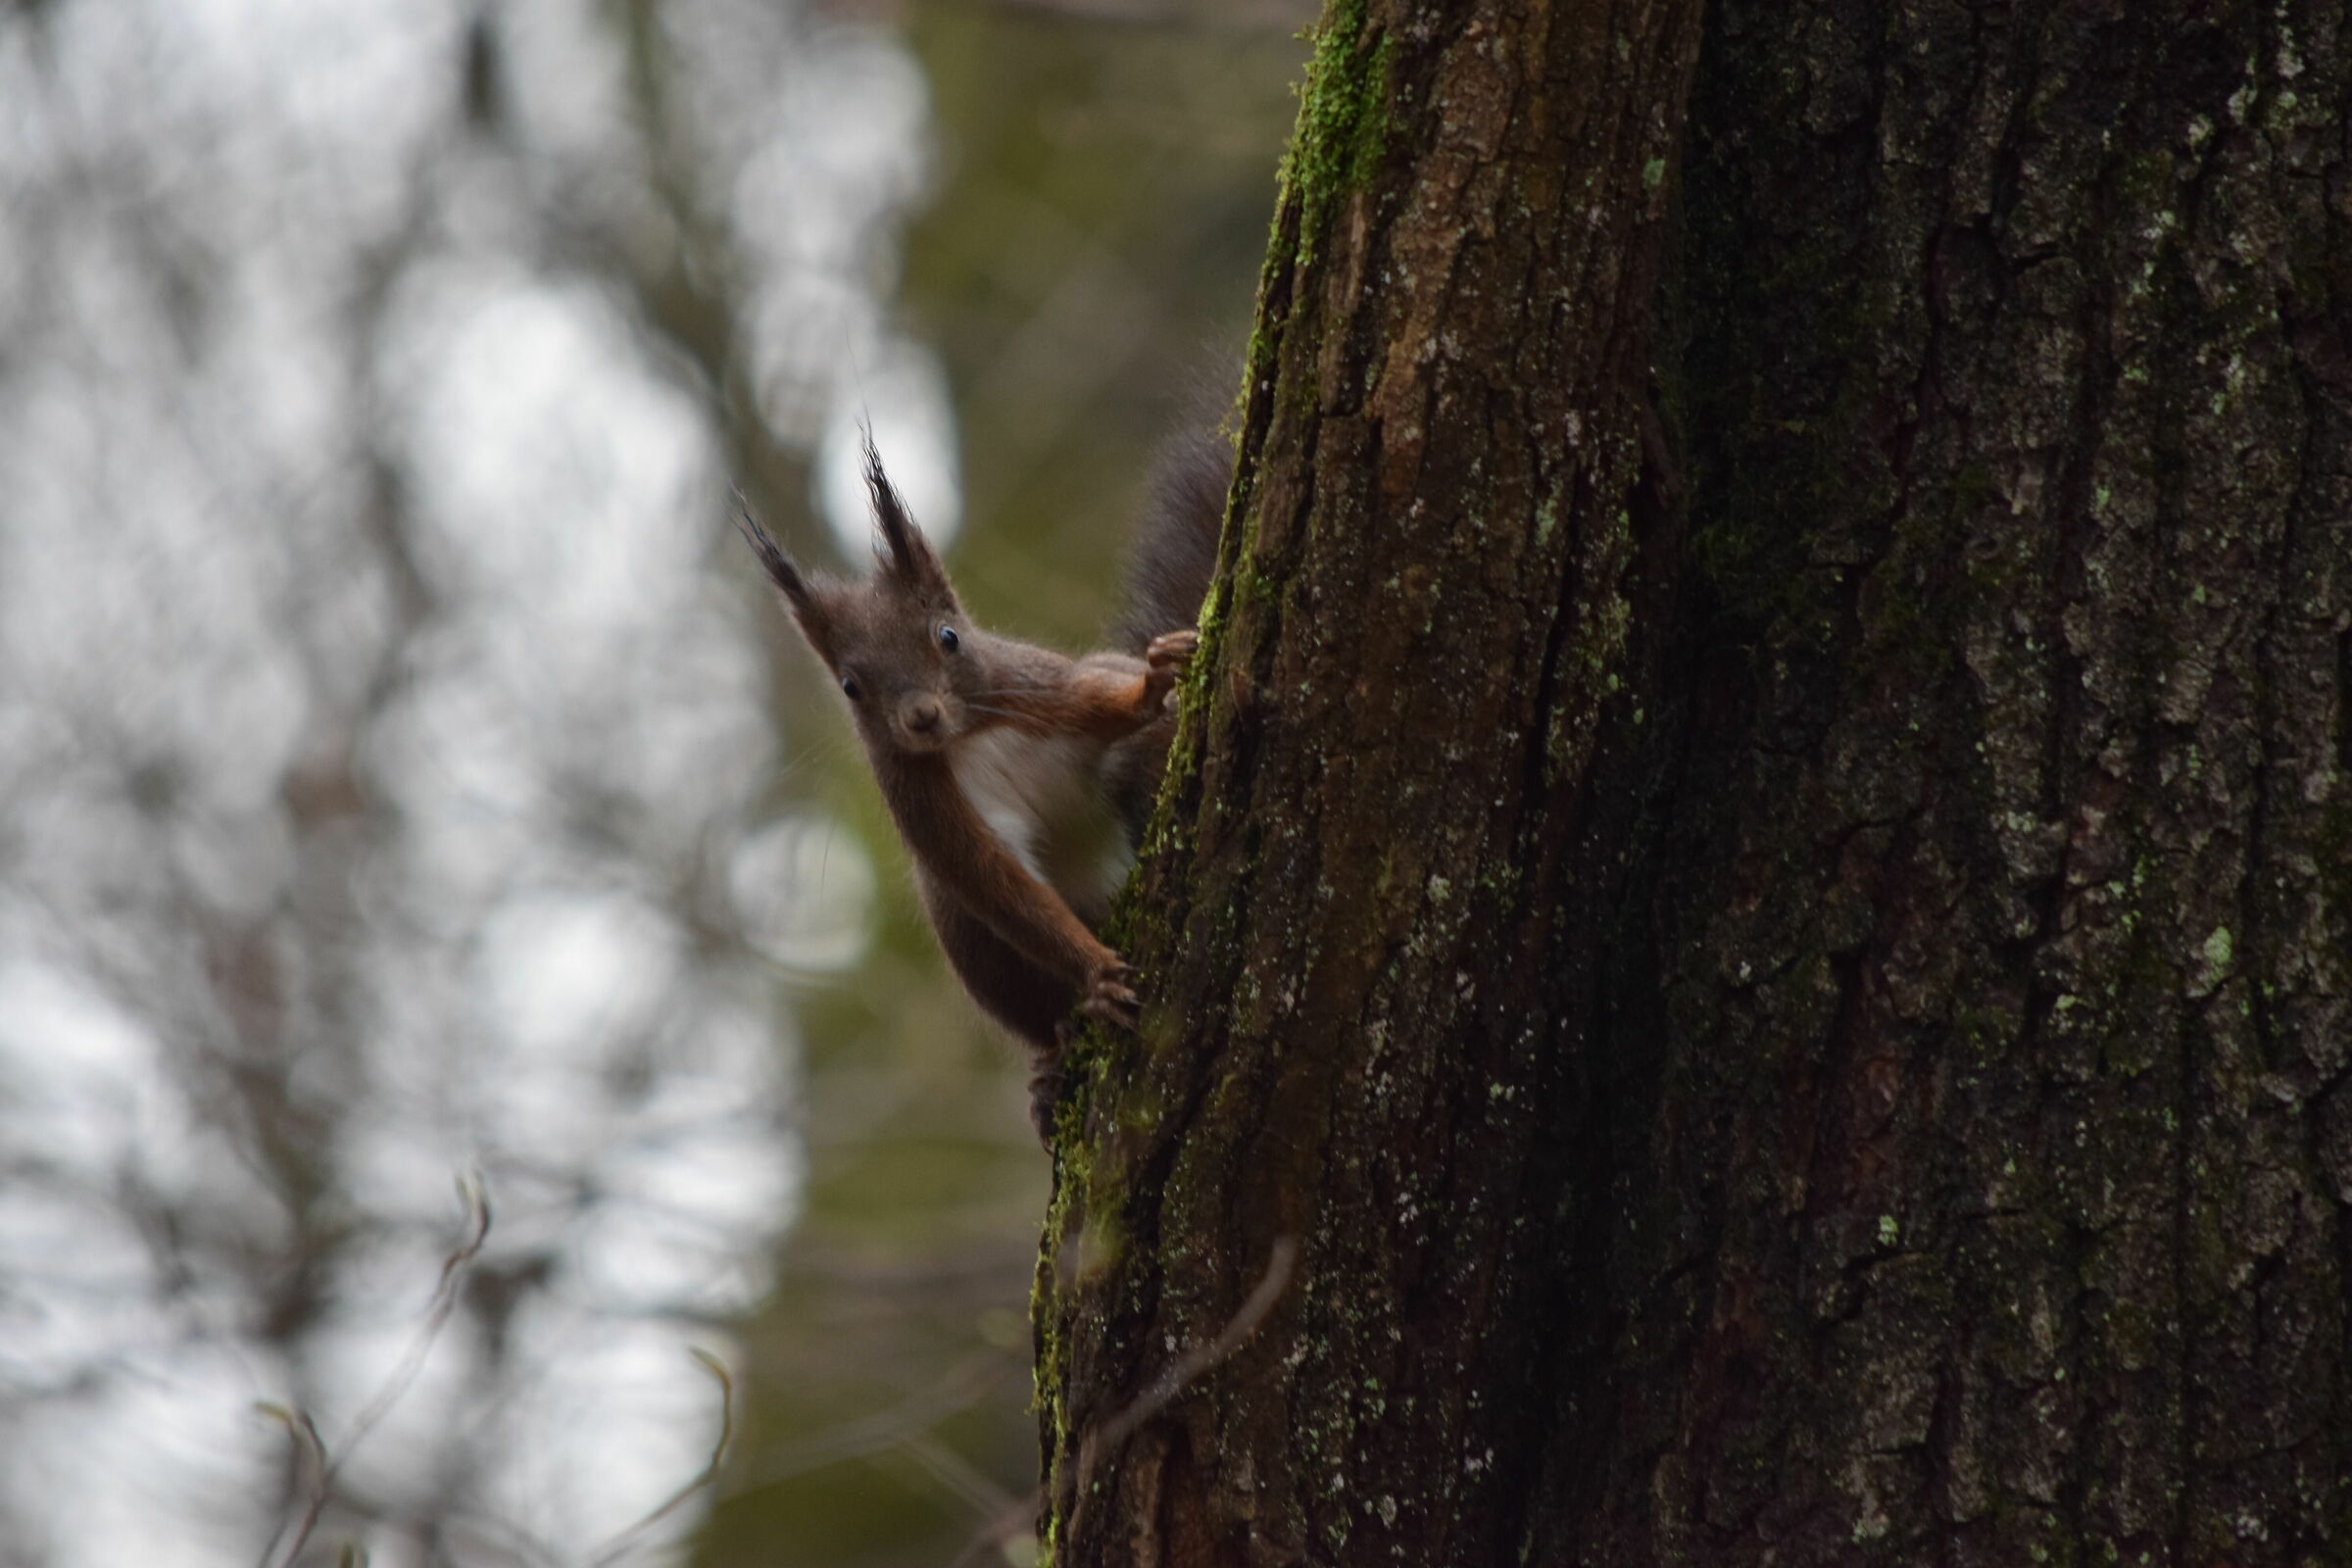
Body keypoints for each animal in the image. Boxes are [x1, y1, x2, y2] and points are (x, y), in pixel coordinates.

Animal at [735, 425, 1225, 1140]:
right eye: (852, 686)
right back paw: (1054, 1058)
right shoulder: (930, 812)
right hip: (969, 938)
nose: (920, 716)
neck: (965, 737)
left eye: (949, 637)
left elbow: (1105, 701)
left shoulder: (1039, 688)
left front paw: (1151, 682)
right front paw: (1098, 974)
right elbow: (998, 887)